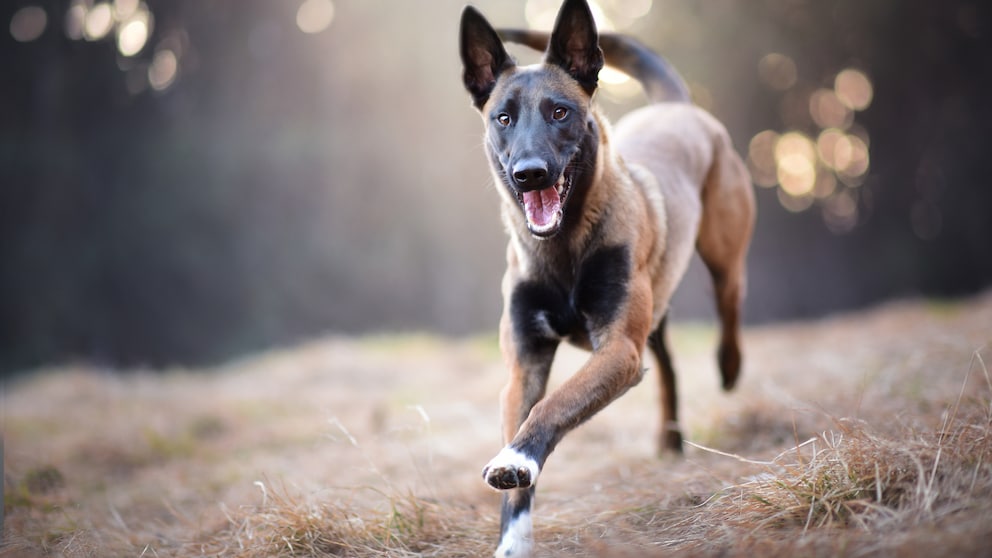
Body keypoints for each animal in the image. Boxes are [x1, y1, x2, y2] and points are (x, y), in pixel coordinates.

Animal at [462, 2, 756, 556]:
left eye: (560, 112)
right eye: (502, 118)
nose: (530, 174)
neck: (562, 249)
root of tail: (676, 106)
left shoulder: (618, 349)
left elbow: (554, 404)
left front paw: (516, 458)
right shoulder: (525, 362)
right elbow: (527, 414)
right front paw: (513, 539)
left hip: (722, 254)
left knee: (730, 301)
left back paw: (729, 367)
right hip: (653, 313)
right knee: (667, 366)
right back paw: (670, 438)